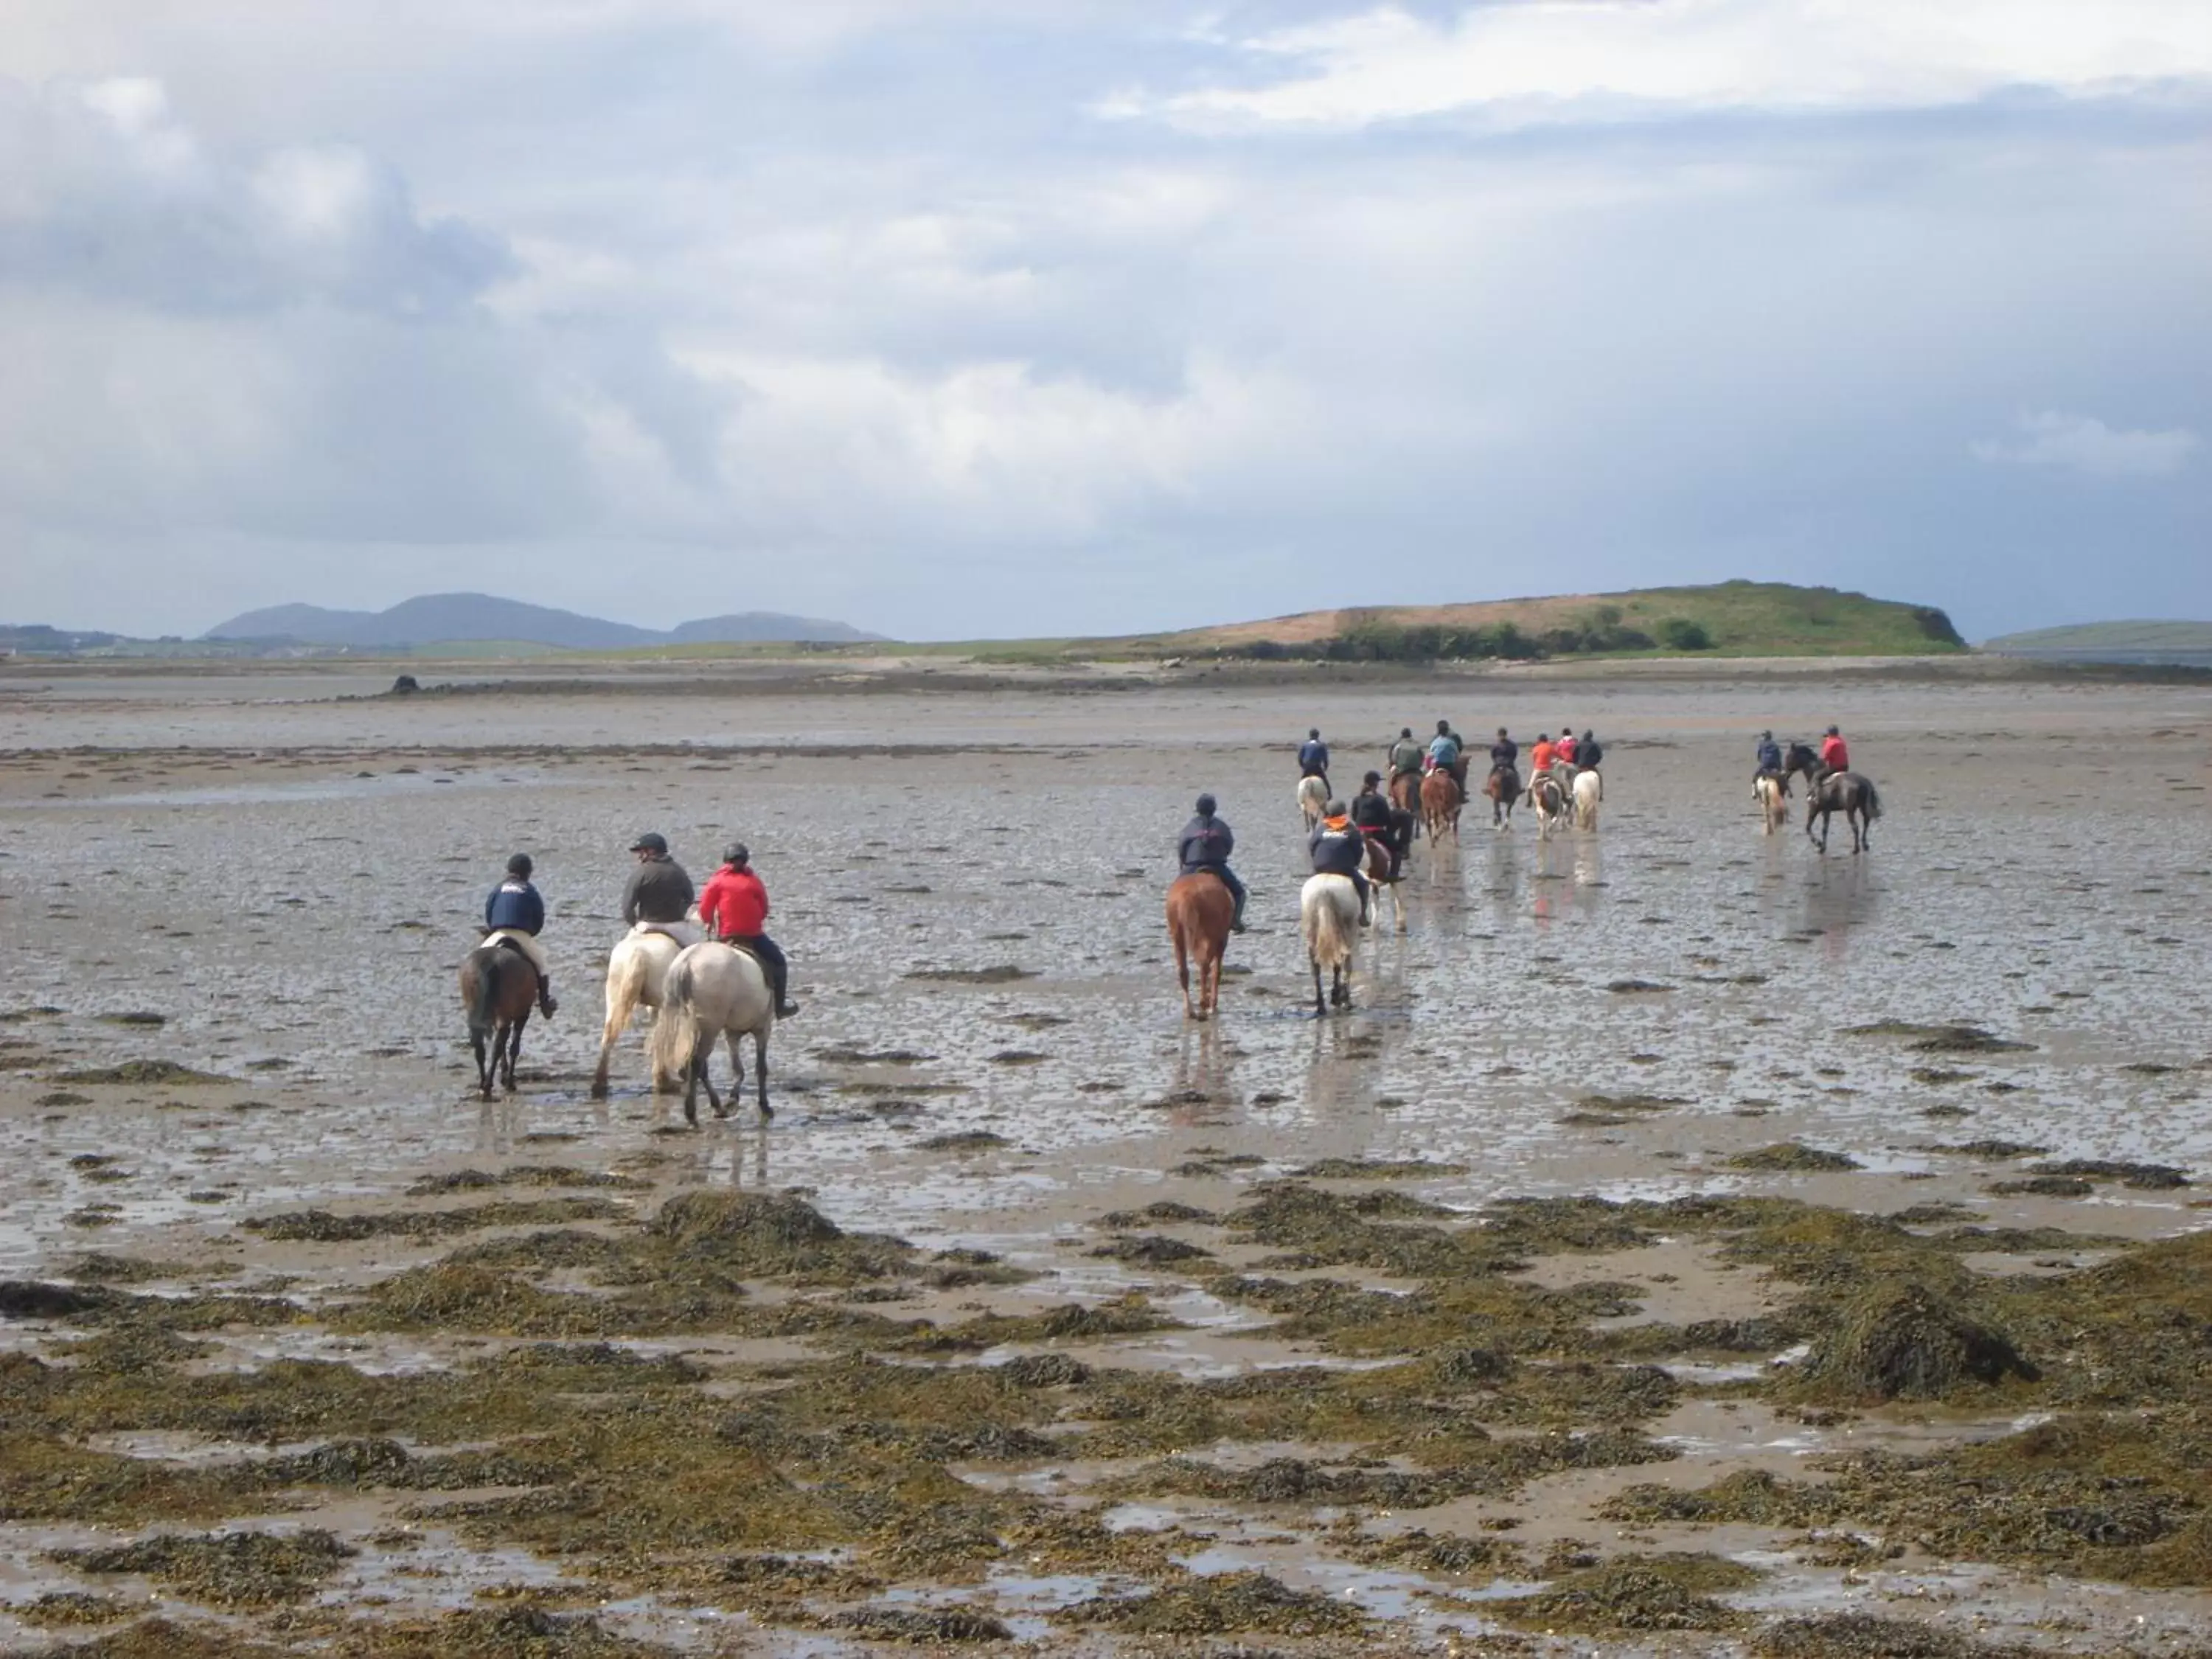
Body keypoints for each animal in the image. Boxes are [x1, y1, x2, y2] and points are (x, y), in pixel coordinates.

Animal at [460, 942, 538, 1097]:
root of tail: (489, 962)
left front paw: (504, 1076)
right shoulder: (522, 1015)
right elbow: (513, 1047)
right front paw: (509, 1081)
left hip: (476, 1014)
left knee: (480, 1046)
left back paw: (483, 1084)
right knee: (498, 1047)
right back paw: (489, 1085)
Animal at [646, 947, 774, 1133]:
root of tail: (688, 962)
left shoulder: (732, 1033)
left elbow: (738, 1069)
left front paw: (732, 1102)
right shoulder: (763, 1028)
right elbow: (761, 1068)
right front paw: (764, 1106)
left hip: (679, 1018)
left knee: (692, 1066)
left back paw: (716, 1107)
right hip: (710, 1028)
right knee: (696, 1064)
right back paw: (693, 1114)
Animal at [1168, 876, 1239, 1022]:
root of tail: (1187, 895)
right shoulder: (1221, 940)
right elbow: (1216, 971)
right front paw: (1213, 1004)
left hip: (1178, 937)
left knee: (1184, 972)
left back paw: (1190, 1010)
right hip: (1211, 938)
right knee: (1205, 966)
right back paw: (1205, 1005)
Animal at [1292, 876, 1363, 1022]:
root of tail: (1324, 891)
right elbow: (1345, 965)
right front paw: (1341, 997)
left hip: (1312, 931)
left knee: (1316, 967)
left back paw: (1321, 1006)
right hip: (1348, 931)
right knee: (1344, 962)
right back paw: (1343, 1000)